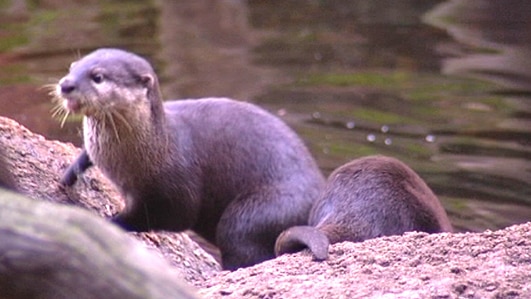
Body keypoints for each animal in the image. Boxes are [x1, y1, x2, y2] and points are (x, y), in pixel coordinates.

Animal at [55, 48, 328, 270]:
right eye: (72, 67)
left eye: (97, 76)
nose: (65, 84)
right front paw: (71, 170)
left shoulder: (176, 187)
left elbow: (170, 216)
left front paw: (108, 221)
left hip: (261, 211)